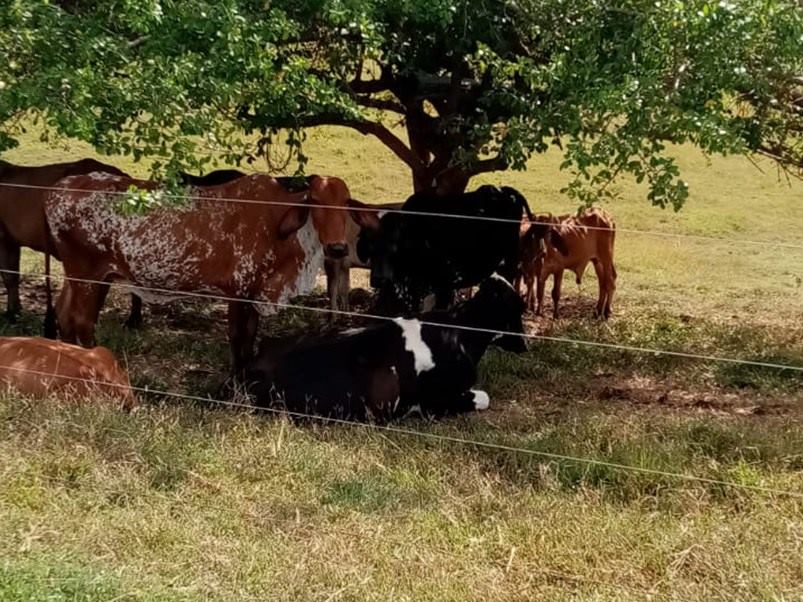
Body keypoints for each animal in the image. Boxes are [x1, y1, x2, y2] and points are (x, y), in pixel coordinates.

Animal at [45, 170, 378, 370]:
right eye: (316, 201)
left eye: (346, 203)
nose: (337, 248)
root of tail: (61, 187)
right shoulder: (238, 290)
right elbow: (238, 336)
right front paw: (236, 383)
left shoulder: (254, 292)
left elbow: (251, 336)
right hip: (87, 275)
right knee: (82, 322)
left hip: (83, 276)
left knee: (64, 315)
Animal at [358, 185, 564, 312]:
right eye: (370, 247)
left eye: (394, 247)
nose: (378, 279)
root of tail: (503, 190)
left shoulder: (443, 280)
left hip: (510, 261)